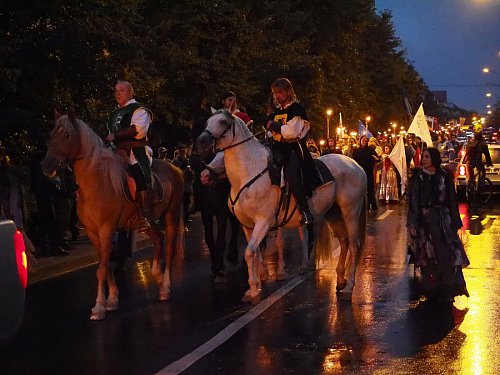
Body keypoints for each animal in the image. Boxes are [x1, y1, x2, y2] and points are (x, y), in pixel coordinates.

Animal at [41, 111, 185, 320]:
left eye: (66, 135)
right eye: (52, 134)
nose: (46, 167)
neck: (96, 182)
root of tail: (175, 169)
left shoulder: (106, 230)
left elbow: (101, 269)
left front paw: (99, 306)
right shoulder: (94, 234)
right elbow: (105, 265)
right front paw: (112, 300)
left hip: (171, 215)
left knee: (170, 248)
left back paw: (165, 286)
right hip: (147, 222)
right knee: (159, 239)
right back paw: (156, 275)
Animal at [196, 109, 368, 302]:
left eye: (223, 121)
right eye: (207, 121)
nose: (201, 142)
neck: (248, 172)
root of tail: (355, 164)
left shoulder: (263, 222)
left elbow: (249, 252)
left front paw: (254, 288)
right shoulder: (247, 225)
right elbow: (253, 252)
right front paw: (257, 281)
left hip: (350, 211)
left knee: (354, 244)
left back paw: (349, 287)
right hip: (333, 212)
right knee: (344, 241)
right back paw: (339, 281)